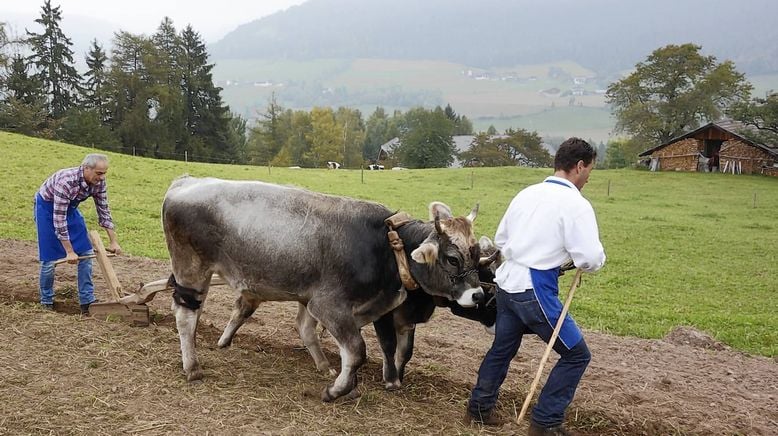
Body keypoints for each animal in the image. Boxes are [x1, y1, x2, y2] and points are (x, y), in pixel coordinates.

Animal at [161, 177, 482, 402]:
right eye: (452, 258)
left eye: (477, 253)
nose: (478, 295)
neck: (386, 247)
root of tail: (185, 182)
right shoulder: (329, 304)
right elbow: (356, 350)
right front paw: (335, 391)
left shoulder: (323, 301)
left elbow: (313, 332)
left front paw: (336, 375)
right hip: (191, 269)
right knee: (185, 316)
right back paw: (192, 367)